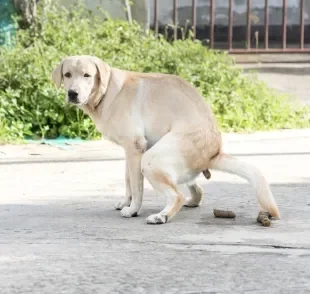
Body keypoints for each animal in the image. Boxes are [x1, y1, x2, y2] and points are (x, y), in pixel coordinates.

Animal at [51, 55, 280, 224]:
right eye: (67, 74)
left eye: (87, 75)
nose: (72, 93)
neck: (107, 94)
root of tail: (215, 152)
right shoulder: (129, 151)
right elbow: (128, 180)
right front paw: (125, 202)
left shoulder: (135, 148)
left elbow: (136, 187)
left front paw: (132, 210)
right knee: (196, 191)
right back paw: (188, 202)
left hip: (151, 160)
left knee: (177, 195)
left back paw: (162, 216)